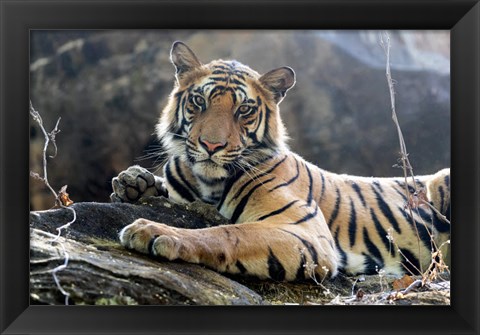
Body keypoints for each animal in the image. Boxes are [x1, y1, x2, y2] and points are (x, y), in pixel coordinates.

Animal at [111, 40, 450, 282]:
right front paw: (133, 182)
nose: (211, 145)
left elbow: (227, 232)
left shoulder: (305, 230)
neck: (207, 182)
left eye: (243, 110)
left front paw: (155, 231)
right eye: (199, 101)